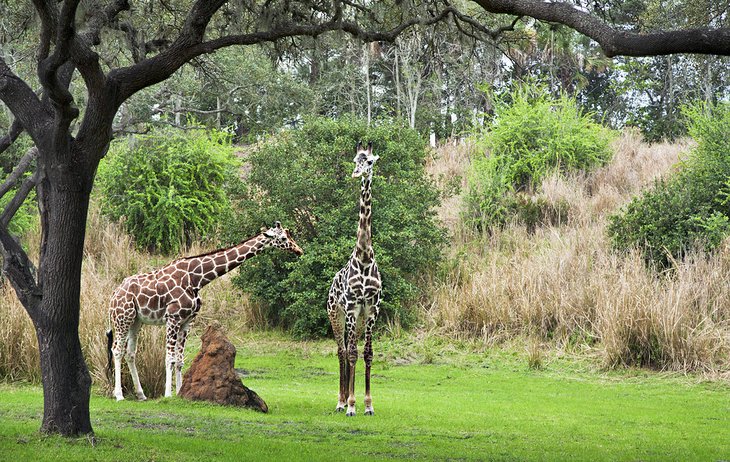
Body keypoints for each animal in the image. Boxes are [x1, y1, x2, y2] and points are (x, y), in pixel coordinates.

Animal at [106, 221, 302, 400]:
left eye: (289, 235)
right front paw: (168, 395)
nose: (299, 250)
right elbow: (169, 358)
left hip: (136, 321)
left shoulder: (187, 321)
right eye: (283, 238)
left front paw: (180, 393)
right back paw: (119, 395)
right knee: (117, 350)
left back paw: (141, 395)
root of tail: (114, 294)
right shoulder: (173, 317)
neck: (196, 279)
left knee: (130, 353)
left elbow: (180, 360)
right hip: (122, 318)